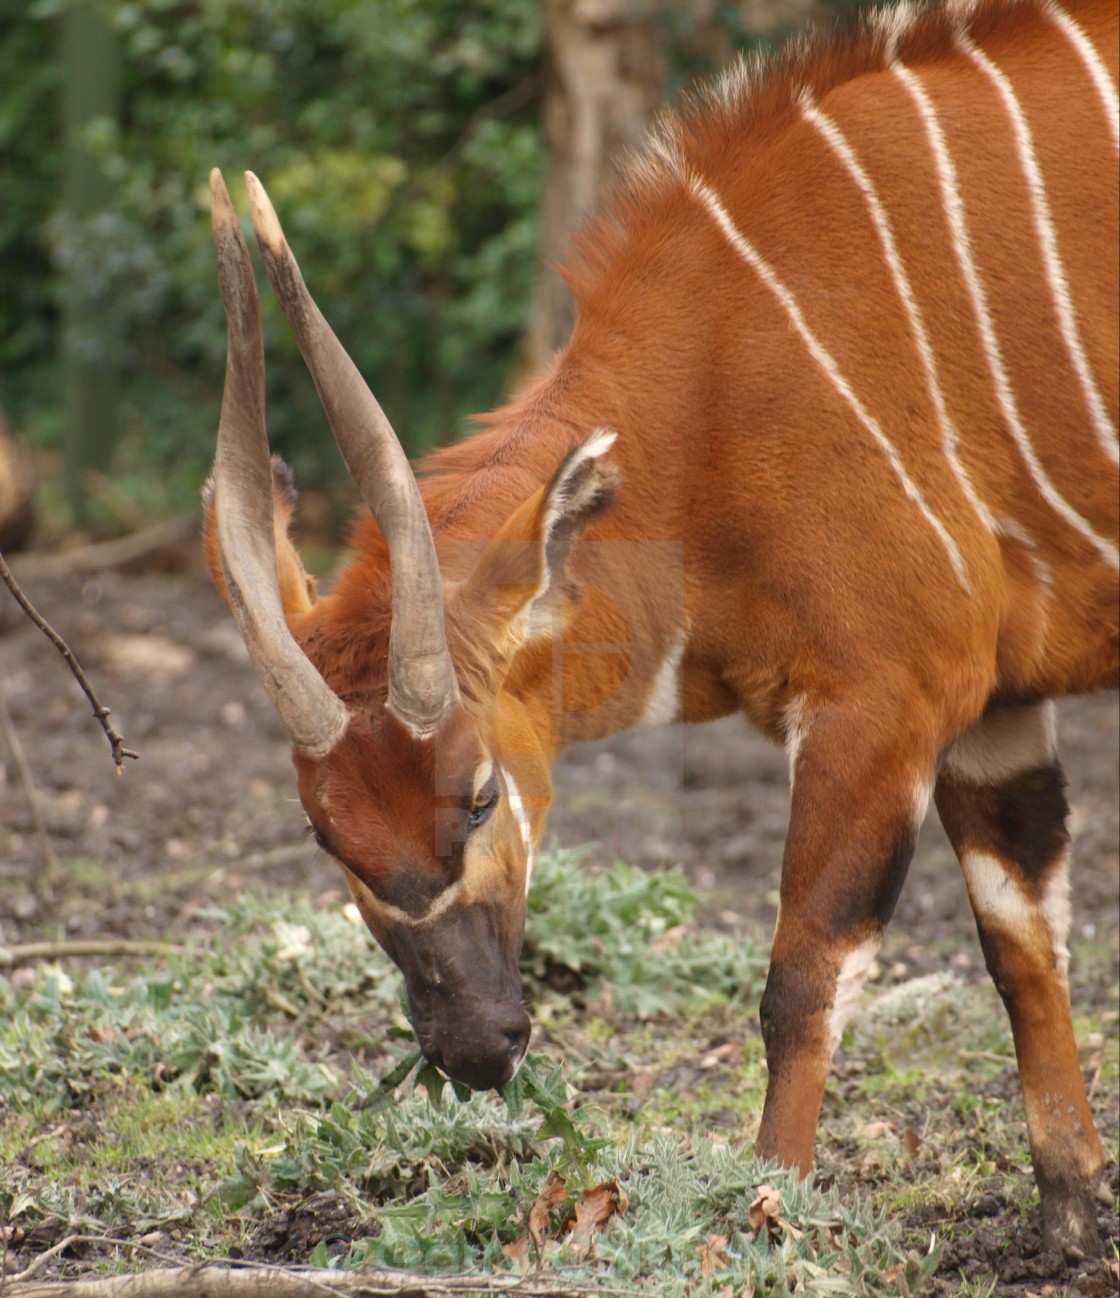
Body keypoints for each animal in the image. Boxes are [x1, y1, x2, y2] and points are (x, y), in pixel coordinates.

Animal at [206, 0, 1116, 1256]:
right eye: (323, 833)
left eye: (479, 794)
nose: (472, 1044)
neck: (719, 388)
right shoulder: (993, 706)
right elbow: (1022, 938)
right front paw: (1073, 1220)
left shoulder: (884, 698)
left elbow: (802, 975)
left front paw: (761, 1217)